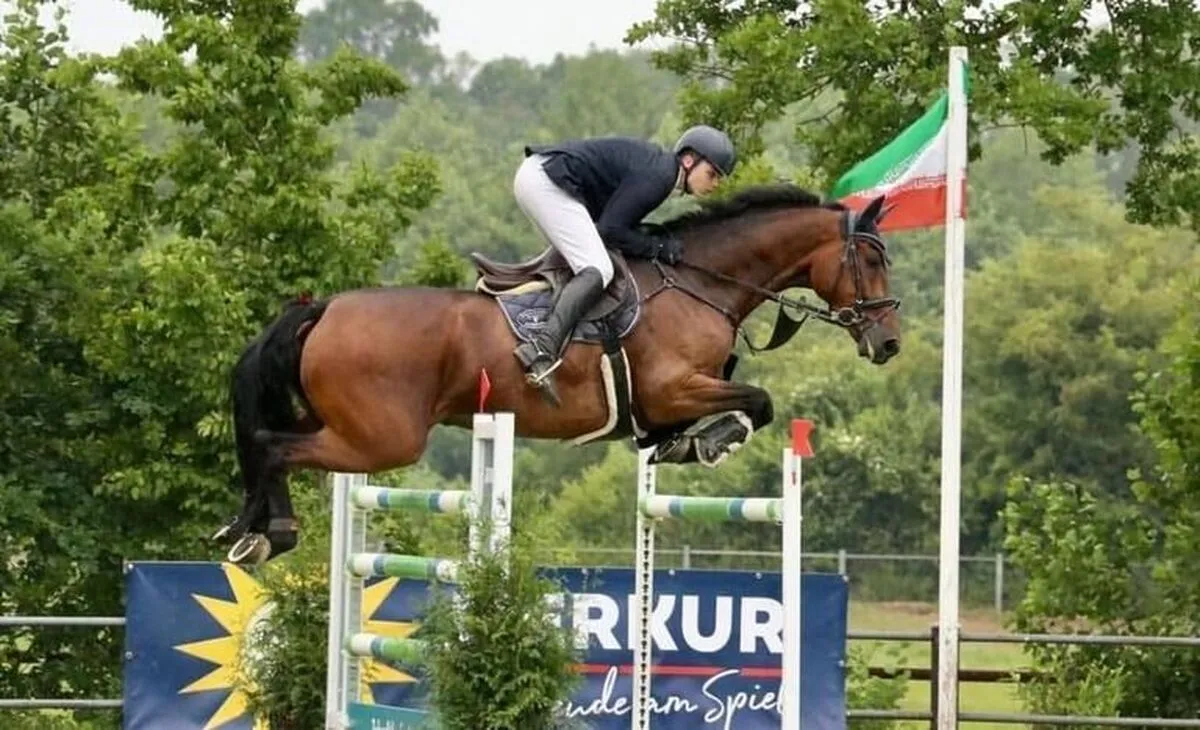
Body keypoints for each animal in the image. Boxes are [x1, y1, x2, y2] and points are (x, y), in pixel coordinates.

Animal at [215, 185, 901, 565]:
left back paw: (250, 529)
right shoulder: (672, 387)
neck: (699, 281)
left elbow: (730, 404)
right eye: (871, 260)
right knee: (274, 447)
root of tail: (325, 307)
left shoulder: (668, 399)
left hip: (346, 427)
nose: (889, 342)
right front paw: (710, 442)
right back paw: (271, 534)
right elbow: (757, 400)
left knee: (271, 443)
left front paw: (679, 444)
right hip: (382, 439)